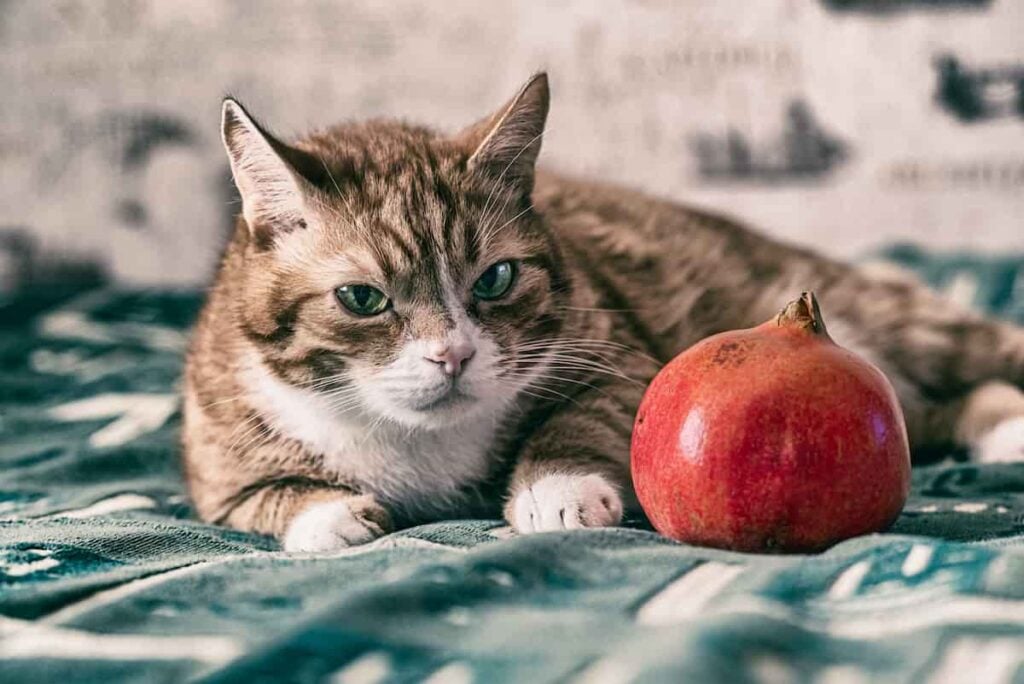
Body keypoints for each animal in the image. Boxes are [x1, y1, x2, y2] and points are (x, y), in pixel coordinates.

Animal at [184, 72, 1024, 548]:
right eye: (363, 298)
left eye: (494, 280)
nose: (453, 354)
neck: (421, 446)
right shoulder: (215, 458)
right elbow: (255, 501)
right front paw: (325, 515)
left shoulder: (620, 356)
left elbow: (581, 416)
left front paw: (554, 489)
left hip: (888, 316)